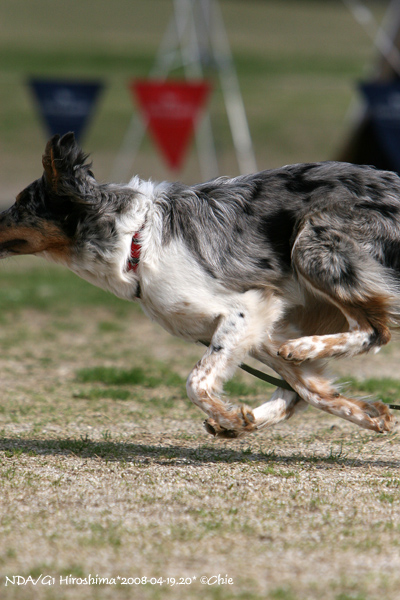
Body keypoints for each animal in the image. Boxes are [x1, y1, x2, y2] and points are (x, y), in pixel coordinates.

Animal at [1, 134, 398, 438]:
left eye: (21, 204)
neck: (135, 241)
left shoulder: (248, 308)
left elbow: (197, 383)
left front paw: (229, 416)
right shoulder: (263, 329)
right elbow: (311, 391)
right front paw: (371, 415)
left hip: (311, 243)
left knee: (375, 330)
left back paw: (304, 347)